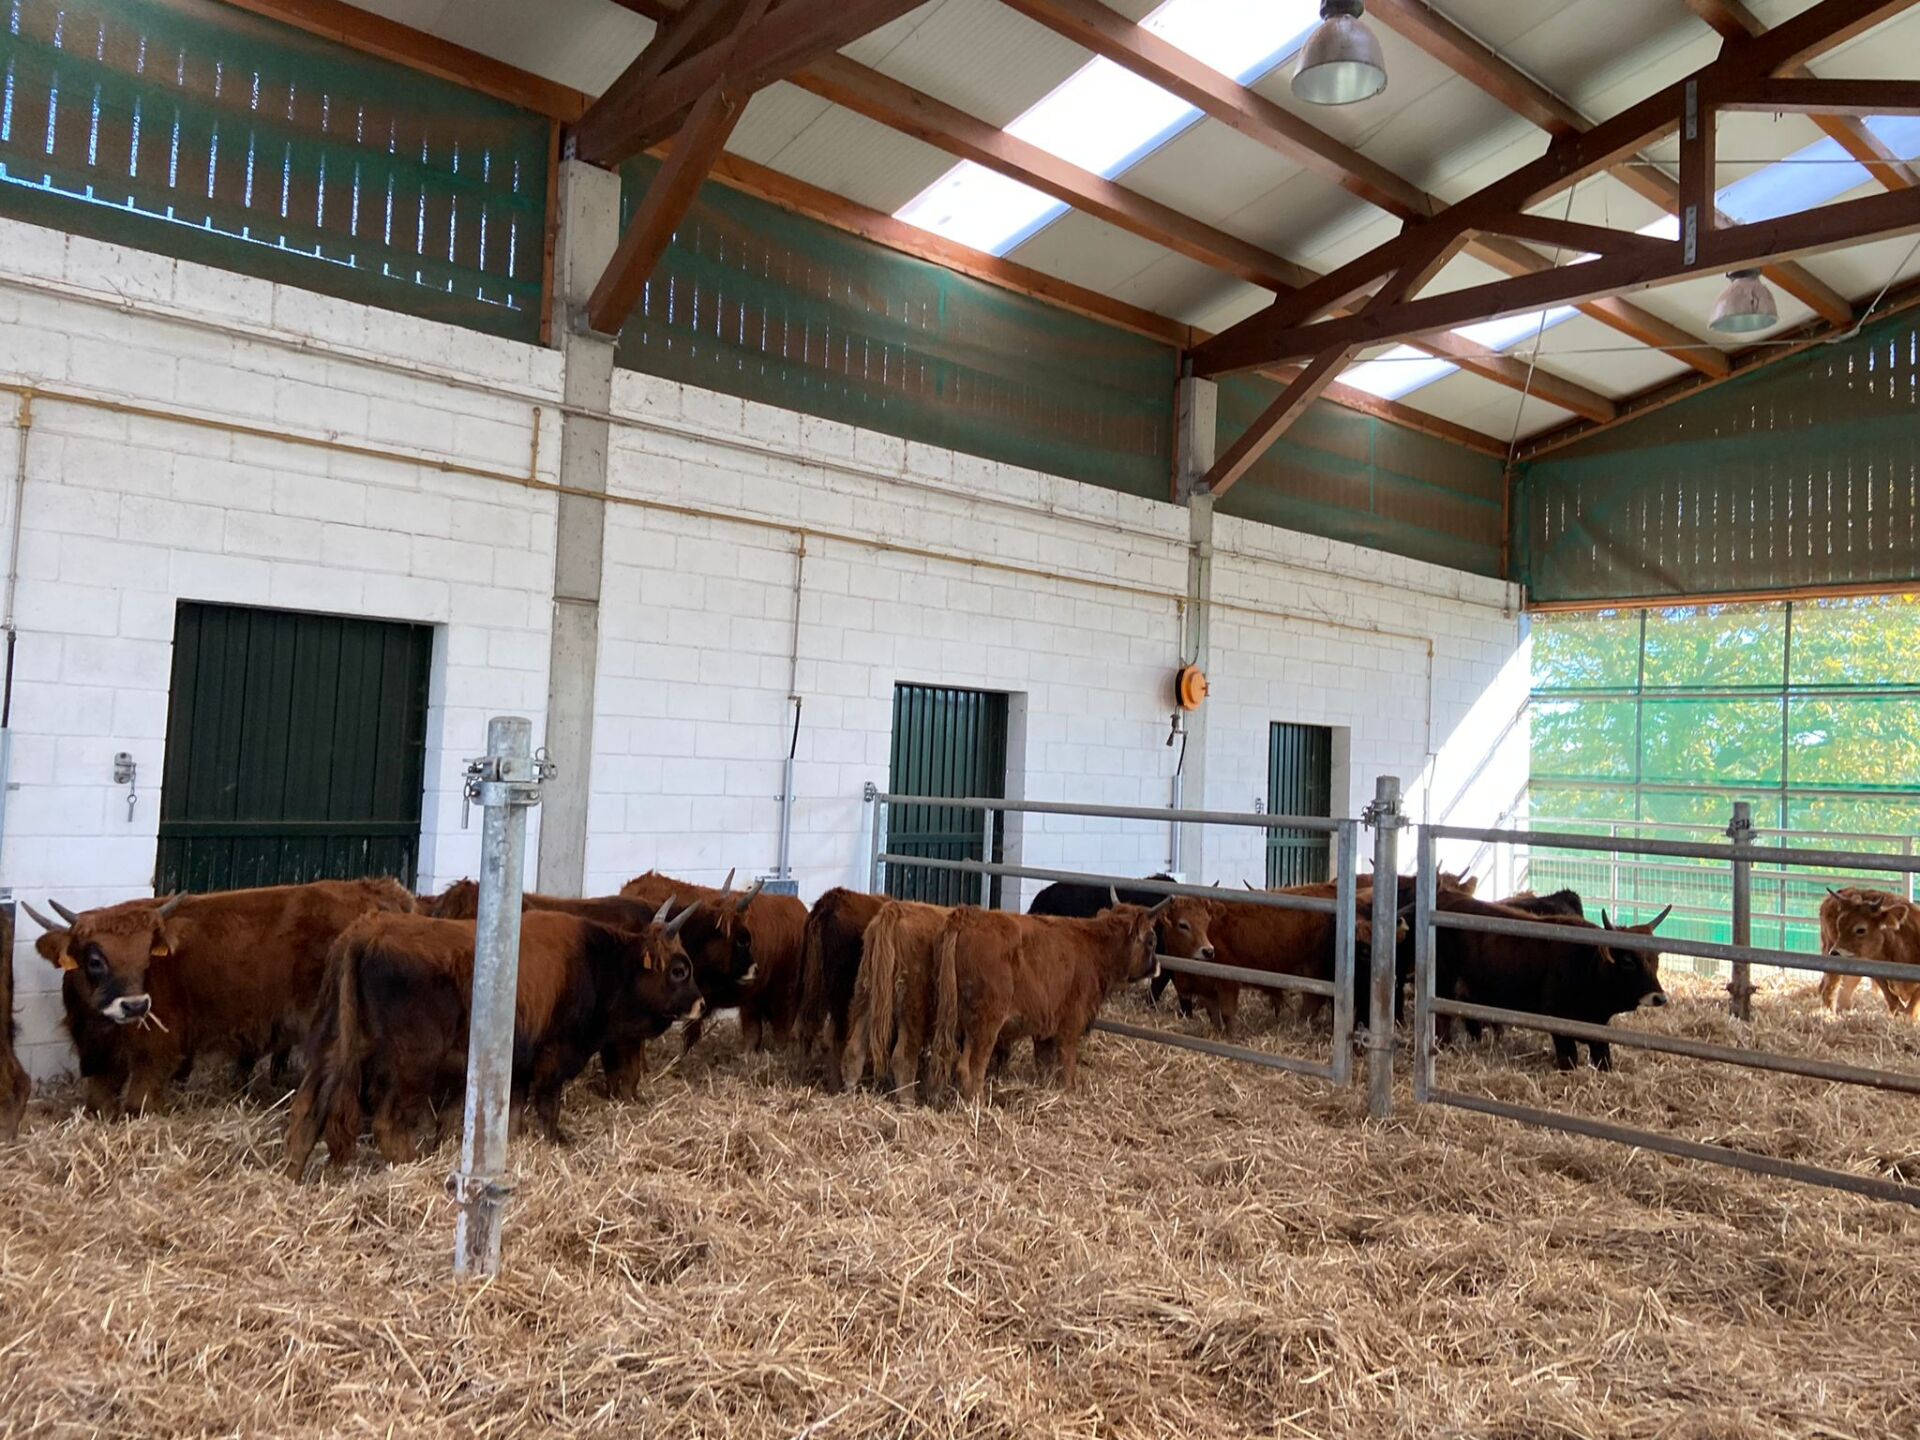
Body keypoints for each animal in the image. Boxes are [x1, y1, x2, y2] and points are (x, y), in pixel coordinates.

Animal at [22, 878, 414, 1114]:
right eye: (95, 959)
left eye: (146, 956)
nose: (136, 1005)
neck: (100, 1025)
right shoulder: (98, 1058)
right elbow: (99, 1106)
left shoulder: (156, 1053)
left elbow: (139, 1104)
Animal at [284, 899, 702, 1177]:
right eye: (680, 969)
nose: (699, 1003)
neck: (597, 962)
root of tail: (367, 931)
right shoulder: (553, 1059)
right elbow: (547, 1108)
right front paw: (559, 1141)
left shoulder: (518, 1066)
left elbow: (513, 1115)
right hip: (413, 1065)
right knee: (387, 1124)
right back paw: (415, 1164)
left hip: (331, 1050)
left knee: (306, 1111)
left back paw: (294, 1174)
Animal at [1426, 893, 1670, 1069]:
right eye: (1628, 960)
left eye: (1656, 958)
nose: (1659, 997)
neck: (1586, 965)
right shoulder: (1557, 1023)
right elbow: (1569, 1060)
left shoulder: (1599, 1030)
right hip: (1443, 987)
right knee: (1443, 1022)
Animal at [1820, 888, 1920, 1017]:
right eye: (1839, 925)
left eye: (1861, 929)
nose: (1835, 953)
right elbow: (1894, 1002)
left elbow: (1911, 1006)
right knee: (1829, 990)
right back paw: (1830, 1017)